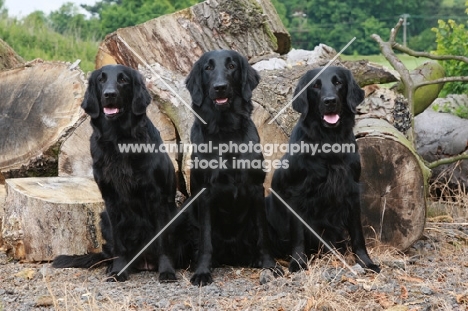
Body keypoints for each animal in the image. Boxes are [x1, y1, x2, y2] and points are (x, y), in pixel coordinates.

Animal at [51, 64, 183, 282]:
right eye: (101, 80)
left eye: (123, 80)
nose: (109, 94)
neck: (119, 140)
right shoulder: (111, 199)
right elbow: (119, 242)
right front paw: (118, 270)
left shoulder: (159, 199)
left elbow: (163, 241)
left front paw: (167, 271)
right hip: (103, 217)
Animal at [186, 50, 282, 286]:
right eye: (208, 68)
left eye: (232, 66)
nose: (220, 87)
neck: (225, 131)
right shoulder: (205, 192)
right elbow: (206, 240)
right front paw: (202, 271)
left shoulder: (256, 189)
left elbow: (263, 234)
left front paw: (269, 264)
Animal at [266, 66, 378, 272]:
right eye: (315, 86)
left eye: (338, 82)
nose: (330, 101)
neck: (328, 142)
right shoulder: (295, 194)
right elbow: (298, 235)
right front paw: (298, 263)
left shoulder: (352, 190)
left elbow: (358, 233)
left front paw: (366, 261)